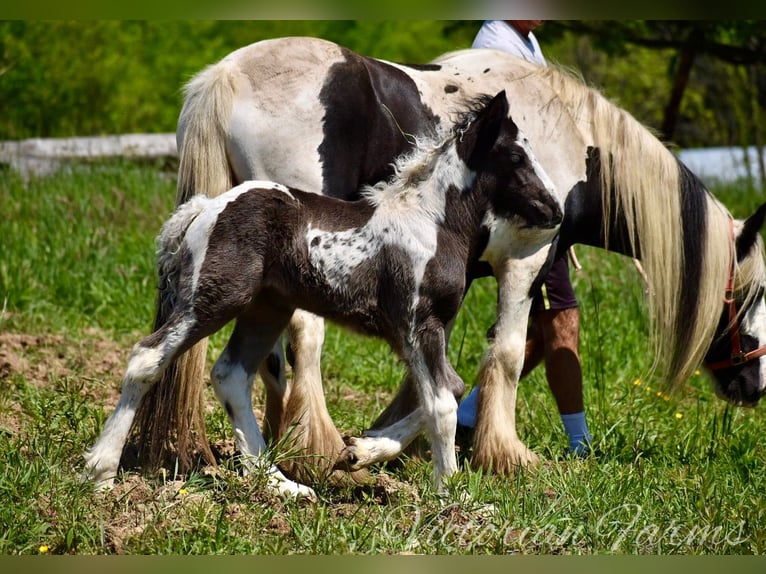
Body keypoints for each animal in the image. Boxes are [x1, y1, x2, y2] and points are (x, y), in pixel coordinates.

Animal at [85, 92, 564, 498]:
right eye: (516, 155)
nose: (555, 210)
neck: (430, 222)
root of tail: (206, 207)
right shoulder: (416, 325)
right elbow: (441, 404)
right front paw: (454, 498)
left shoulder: (431, 329)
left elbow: (454, 388)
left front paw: (359, 451)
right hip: (214, 298)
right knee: (148, 358)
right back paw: (100, 471)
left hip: (267, 308)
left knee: (231, 375)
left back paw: (281, 485)